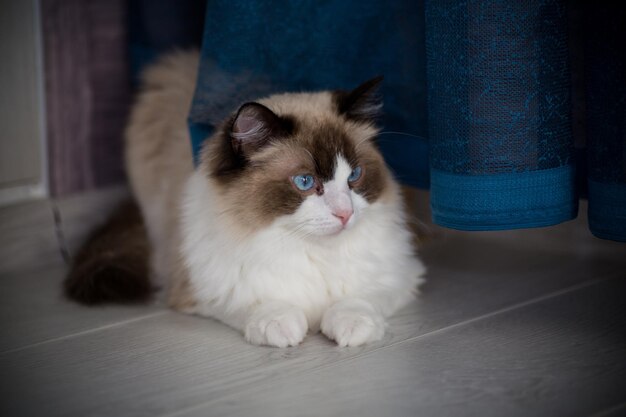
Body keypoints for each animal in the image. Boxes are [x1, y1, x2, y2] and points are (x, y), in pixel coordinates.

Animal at [64, 50, 424, 346]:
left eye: (354, 176)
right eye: (305, 182)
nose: (345, 214)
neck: (307, 249)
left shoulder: (398, 274)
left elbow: (359, 299)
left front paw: (350, 326)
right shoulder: (203, 287)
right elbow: (259, 302)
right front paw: (282, 325)